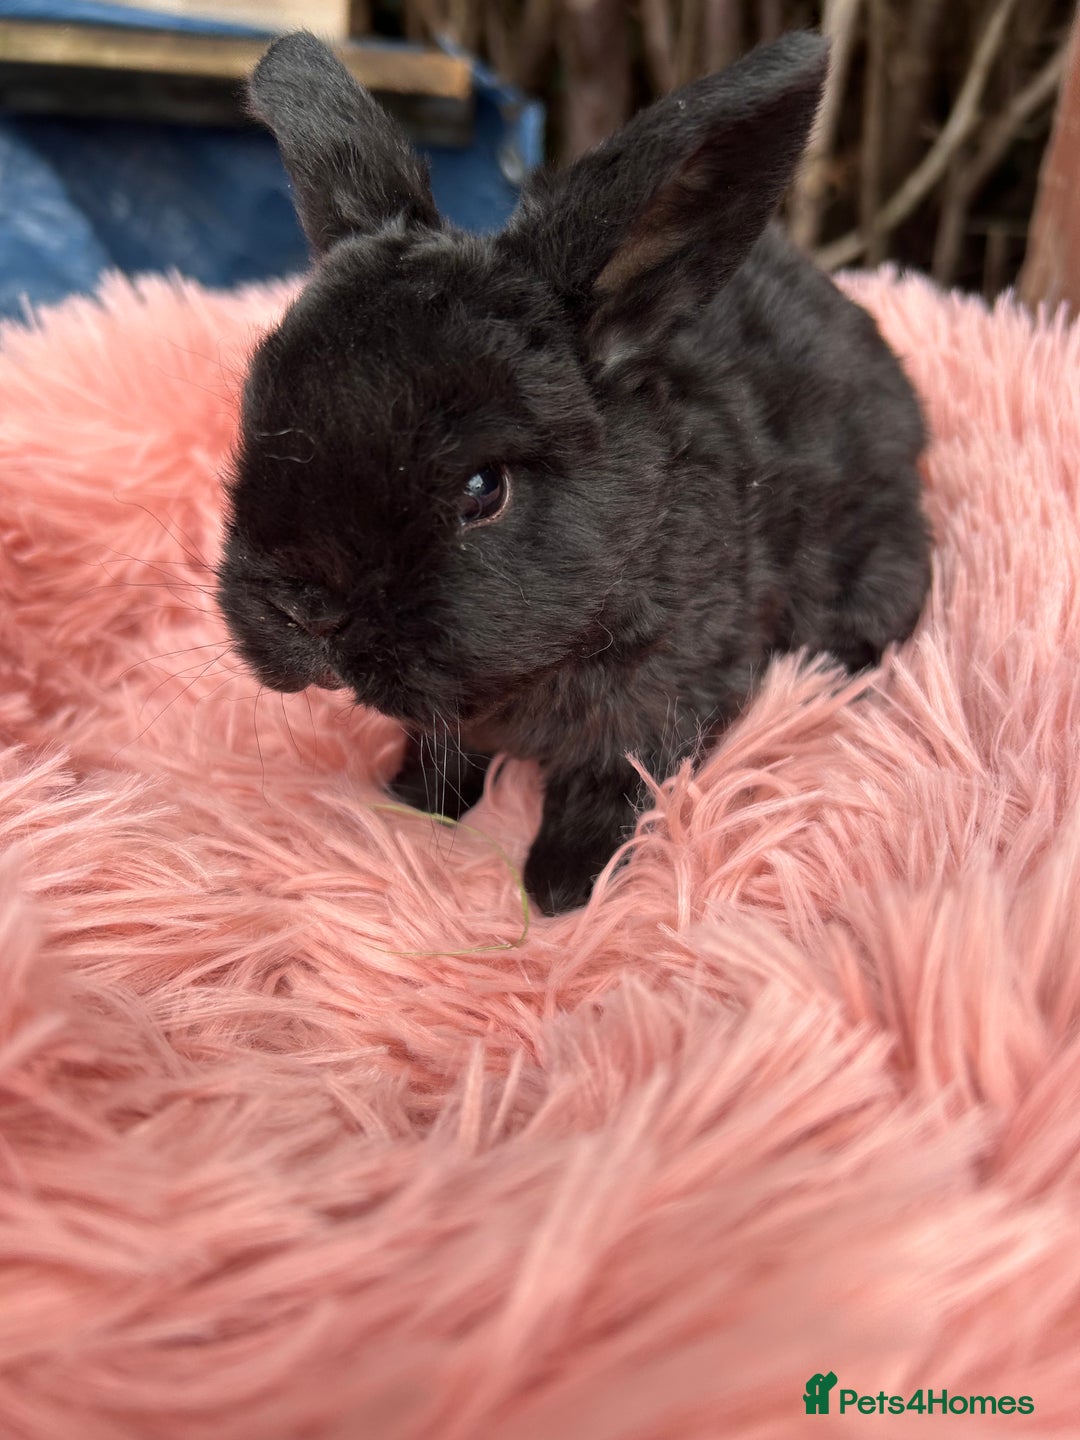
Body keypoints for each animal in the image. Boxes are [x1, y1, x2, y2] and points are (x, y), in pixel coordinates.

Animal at [216, 29, 931, 916]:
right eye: (254, 414)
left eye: (484, 489)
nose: (305, 611)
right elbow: (441, 751)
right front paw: (411, 806)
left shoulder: (658, 704)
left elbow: (602, 789)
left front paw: (560, 889)